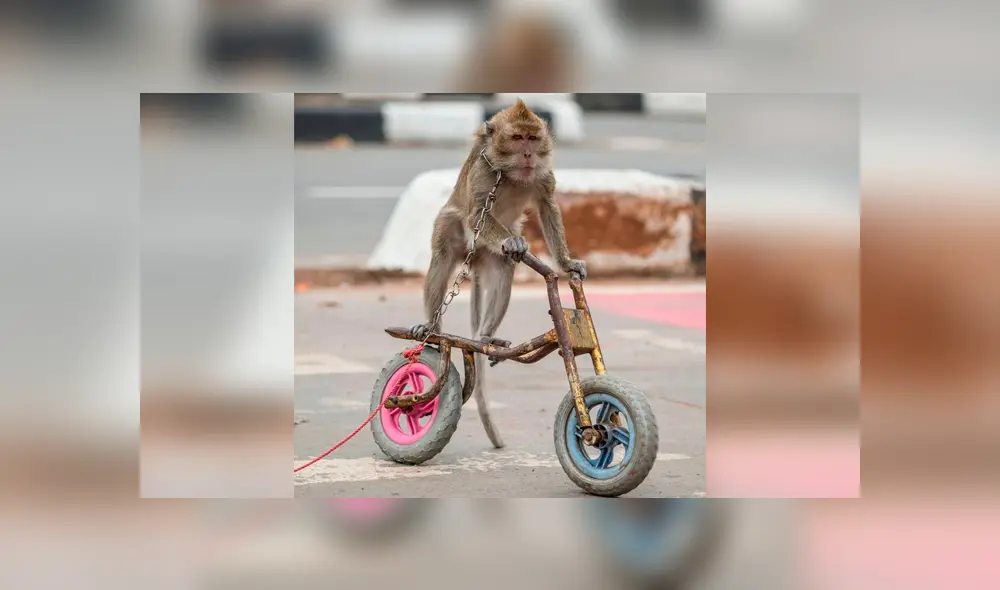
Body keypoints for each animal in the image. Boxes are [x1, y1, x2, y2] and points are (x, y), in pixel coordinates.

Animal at [410, 99, 587, 449]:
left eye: (532, 139)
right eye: (517, 138)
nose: (529, 155)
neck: (514, 174)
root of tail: (475, 255)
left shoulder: (542, 177)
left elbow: (548, 206)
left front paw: (566, 262)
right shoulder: (484, 173)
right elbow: (479, 211)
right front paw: (514, 241)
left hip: (491, 254)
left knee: (506, 268)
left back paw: (487, 335)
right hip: (455, 231)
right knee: (443, 255)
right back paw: (432, 326)